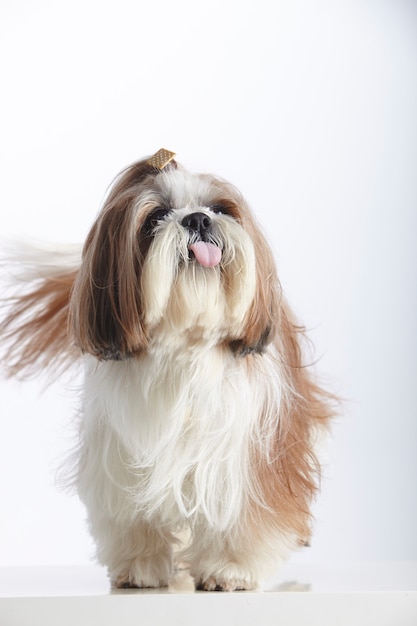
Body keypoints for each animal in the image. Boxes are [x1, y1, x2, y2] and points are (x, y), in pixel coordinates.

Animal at [0, 149, 332, 588]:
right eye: (156, 216)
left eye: (220, 209)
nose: (198, 219)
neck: (185, 342)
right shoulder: (122, 453)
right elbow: (133, 511)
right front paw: (141, 565)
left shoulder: (247, 451)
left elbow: (242, 513)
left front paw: (230, 567)